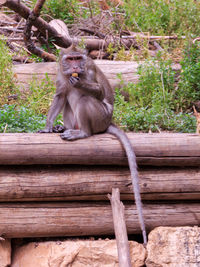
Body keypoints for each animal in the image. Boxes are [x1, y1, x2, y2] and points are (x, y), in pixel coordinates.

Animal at [39, 45, 147, 245]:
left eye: (78, 59)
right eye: (70, 59)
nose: (75, 67)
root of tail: (108, 122)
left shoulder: (88, 71)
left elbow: (98, 91)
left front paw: (79, 82)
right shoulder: (61, 73)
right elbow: (60, 95)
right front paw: (48, 126)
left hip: (99, 118)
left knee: (84, 99)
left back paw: (83, 132)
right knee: (68, 98)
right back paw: (63, 127)